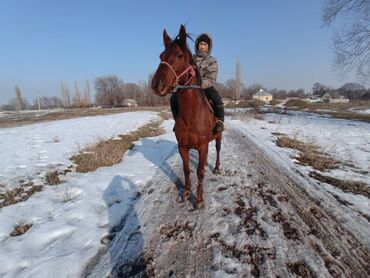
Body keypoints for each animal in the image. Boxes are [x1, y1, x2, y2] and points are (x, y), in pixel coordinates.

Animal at [151, 25, 223, 208]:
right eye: (161, 56)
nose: (156, 84)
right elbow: (186, 170)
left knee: (218, 149)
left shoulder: (203, 147)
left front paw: (199, 199)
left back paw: (217, 168)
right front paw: (185, 193)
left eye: (179, 55)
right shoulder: (182, 147)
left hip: (219, 136)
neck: (192, 116)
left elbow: (200, 171)